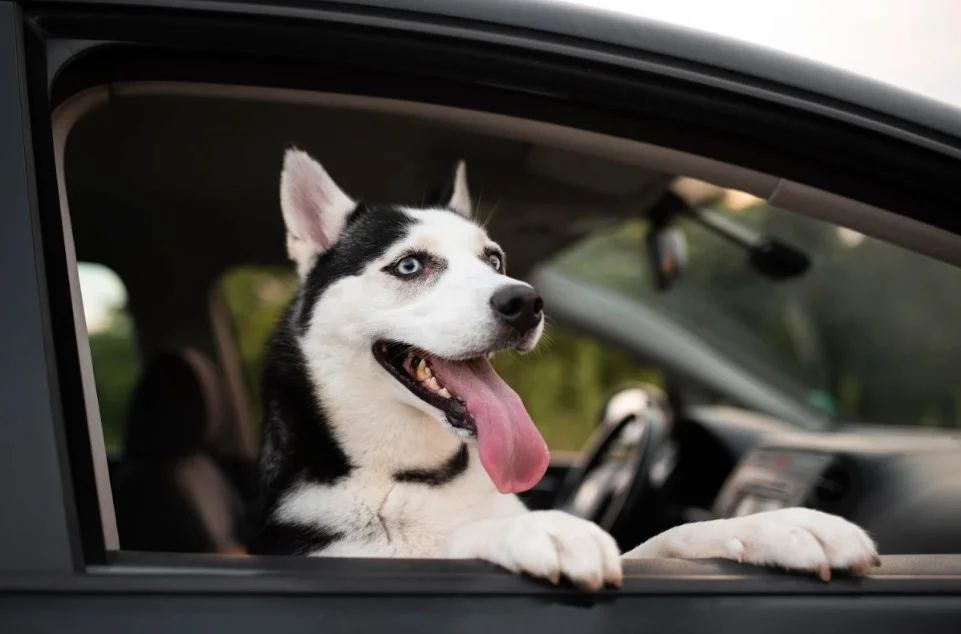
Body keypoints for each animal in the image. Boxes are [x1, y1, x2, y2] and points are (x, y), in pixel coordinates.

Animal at [248, 149, 876, 588]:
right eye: (409, 265)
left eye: (494, 259)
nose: (524, 300)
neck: (420, 475)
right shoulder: (343, 556)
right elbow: (458, 541)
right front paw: (537, 527)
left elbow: (672, 535)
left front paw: (779, 525)